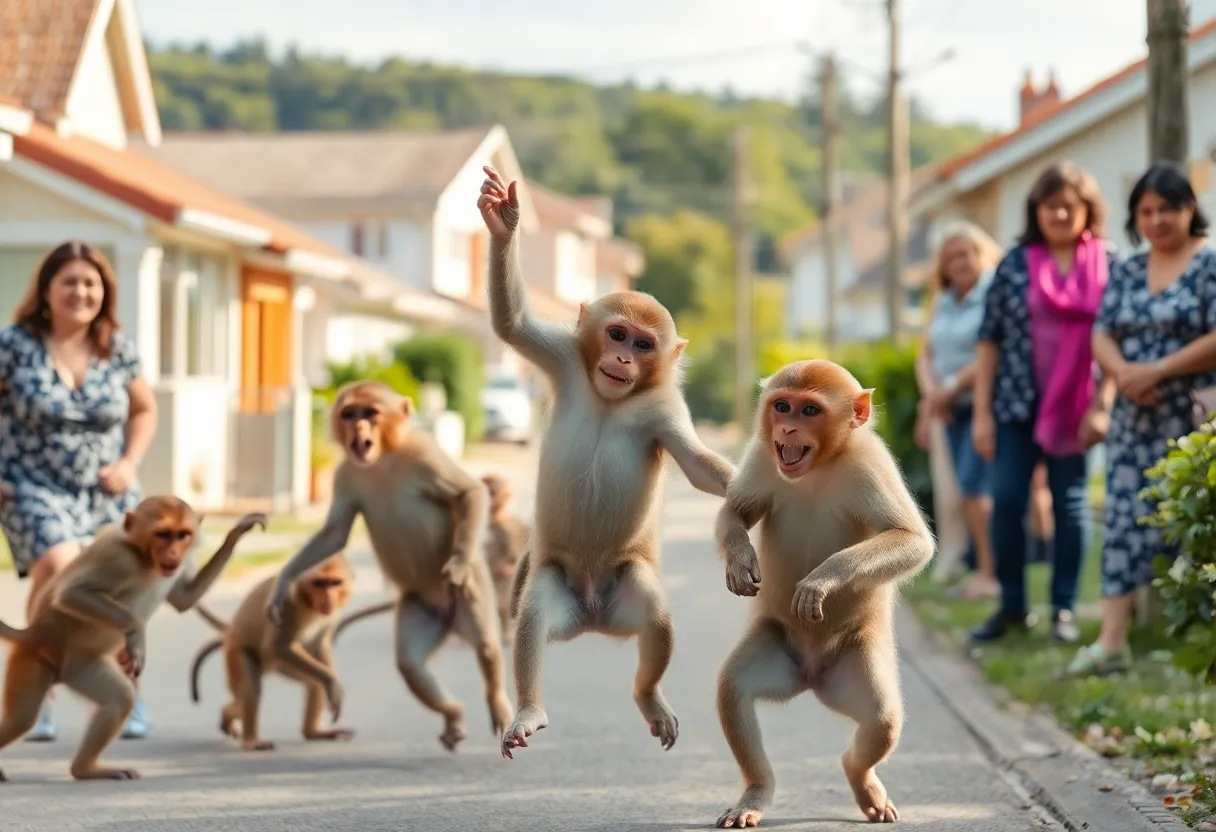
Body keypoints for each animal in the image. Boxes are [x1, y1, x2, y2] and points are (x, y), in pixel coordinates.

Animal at [0, 497, 265, 782]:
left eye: (183, 534)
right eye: (163, 534)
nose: (174, 553)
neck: (143, 557)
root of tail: (30, 633)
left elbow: (184, 599)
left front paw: (236, 534)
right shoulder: (117, 558)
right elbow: (71, 594)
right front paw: (136, 632)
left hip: (79, 665)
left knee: (116, 699)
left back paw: (84, 769)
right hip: (32, 659)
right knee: (22, 720)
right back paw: (85, 768)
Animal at [189, 554, 359, 751]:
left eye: (335, 583)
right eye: (320, 583)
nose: (328, 598)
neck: (306, 600)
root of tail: (230, 631)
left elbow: (320, 643)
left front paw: (331, 678)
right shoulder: (286, 603)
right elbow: (278, 646)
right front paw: (331, 680)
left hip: (281, 665)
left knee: (315, 683)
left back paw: (312, 732)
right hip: (235, 650)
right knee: (251, 685)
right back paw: (250, 739)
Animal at [265, 379, 511, 753]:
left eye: (370, 413)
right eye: (350, 413)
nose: (358, 429)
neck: (381, 459)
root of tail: (449, 621)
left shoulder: (423, 455)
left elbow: (469, 493)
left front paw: (457, 563)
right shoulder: (345, 472)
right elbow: (335, 533)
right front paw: (285, 580)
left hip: (471, 596)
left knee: (485, 644)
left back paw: (498, 702)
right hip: (420, 605)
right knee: (410, 664)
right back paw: (453, 714)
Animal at [711, 360, 935, 827]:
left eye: (810, 410)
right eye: (782, 406)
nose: (788, 429)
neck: (817, 468)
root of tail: (812, 677)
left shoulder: (871, 464)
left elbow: (911, 541)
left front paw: (821, 581)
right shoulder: (763, 456)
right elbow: (735, 511)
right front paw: (740, 558)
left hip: (854, 663)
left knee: (883, 719)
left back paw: (861, 777)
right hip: (778, 649)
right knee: (733, 691)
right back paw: (755, 794)